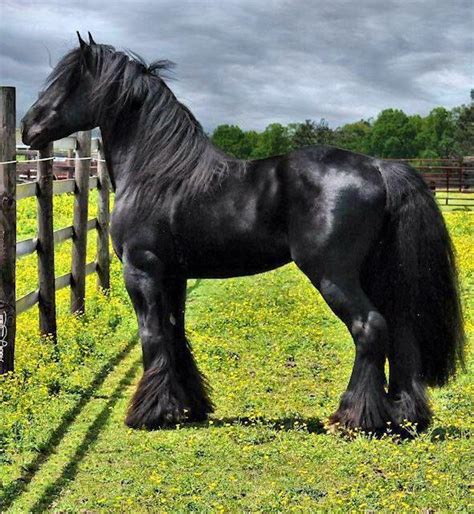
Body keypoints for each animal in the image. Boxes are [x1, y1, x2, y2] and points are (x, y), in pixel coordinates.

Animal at [21, 33, 462, 432]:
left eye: (68, 81)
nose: (28, 127)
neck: (158, 174)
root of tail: (378, 167)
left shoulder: (142, 271)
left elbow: (152, 335)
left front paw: (150, 413)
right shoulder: (174, 275)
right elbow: (174, 332)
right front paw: (187, 407)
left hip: (332, 274)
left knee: (370, 327)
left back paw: (354, 418)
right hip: (376, 273)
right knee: (401, 330)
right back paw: (403, 415)